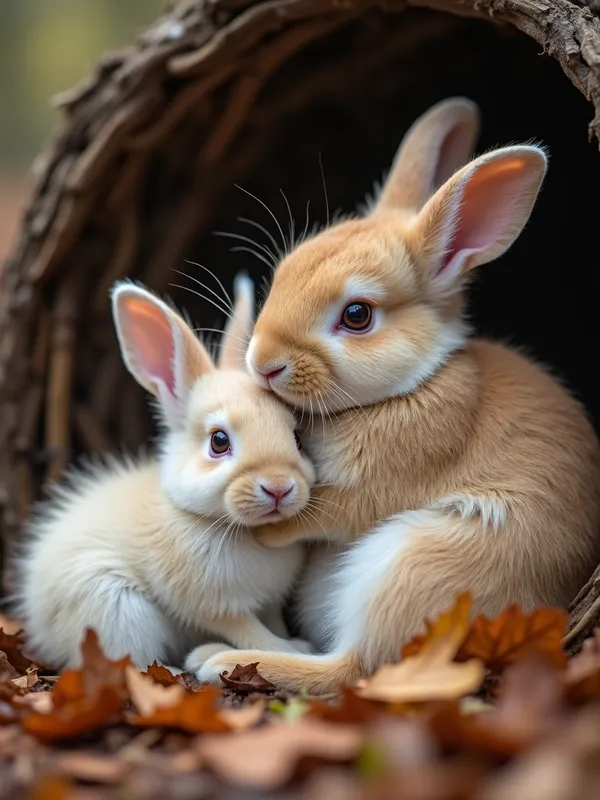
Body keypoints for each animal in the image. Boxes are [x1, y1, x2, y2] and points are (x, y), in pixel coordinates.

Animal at [15, 274, 316, 670]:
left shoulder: (269, 602)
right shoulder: (215, 606)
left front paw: (292, 641)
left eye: (297, 437)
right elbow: (251, 632)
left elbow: (271, 621)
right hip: (117, 610)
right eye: (218, 441)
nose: (279, 487)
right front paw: (290, 649)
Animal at [188, 97, 600, 693]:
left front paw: (267, 536)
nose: (263, 362)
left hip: (411, 563)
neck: (411, 385)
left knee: (355, 669)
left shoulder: (369, 490)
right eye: (284, 272)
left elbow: (319, 513)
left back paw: (216, 661)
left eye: (357, 315)